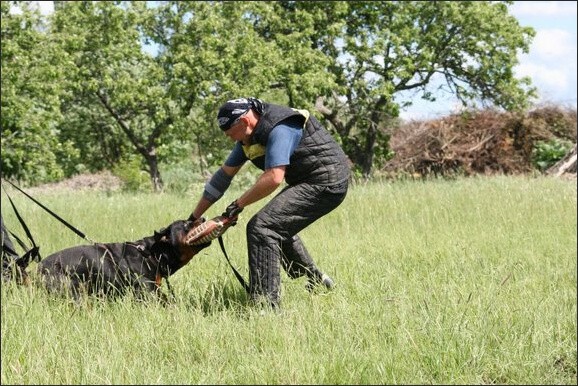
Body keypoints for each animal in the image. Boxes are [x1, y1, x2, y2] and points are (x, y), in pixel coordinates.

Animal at [34, 220, 207, 302]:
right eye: (186, 223)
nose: (204, 217)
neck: (151, 254)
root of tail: (39, 267)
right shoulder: (149, 292)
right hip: (73, 292)